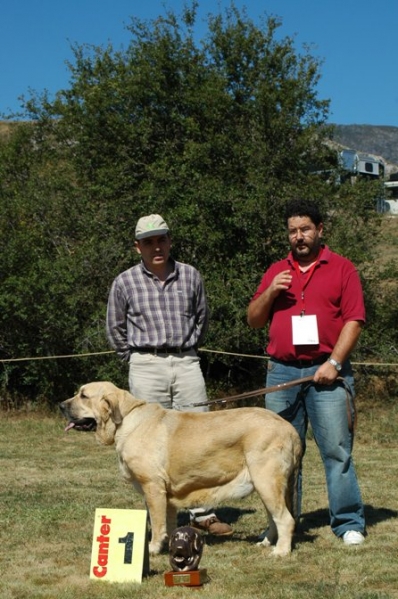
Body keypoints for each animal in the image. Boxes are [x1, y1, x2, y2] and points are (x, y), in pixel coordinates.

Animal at [59, 382, 302, 556]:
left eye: (83, 395)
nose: (61, 406)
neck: (126, 420)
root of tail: (290, 429)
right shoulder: (166, 496)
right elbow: (168, 522)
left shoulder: (153, 488)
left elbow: (157, 523)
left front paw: (152, 549)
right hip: (265, 486)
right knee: (274, 518)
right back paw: (266, 543)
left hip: (266, 481)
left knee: (285, 519)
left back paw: (280, 551)